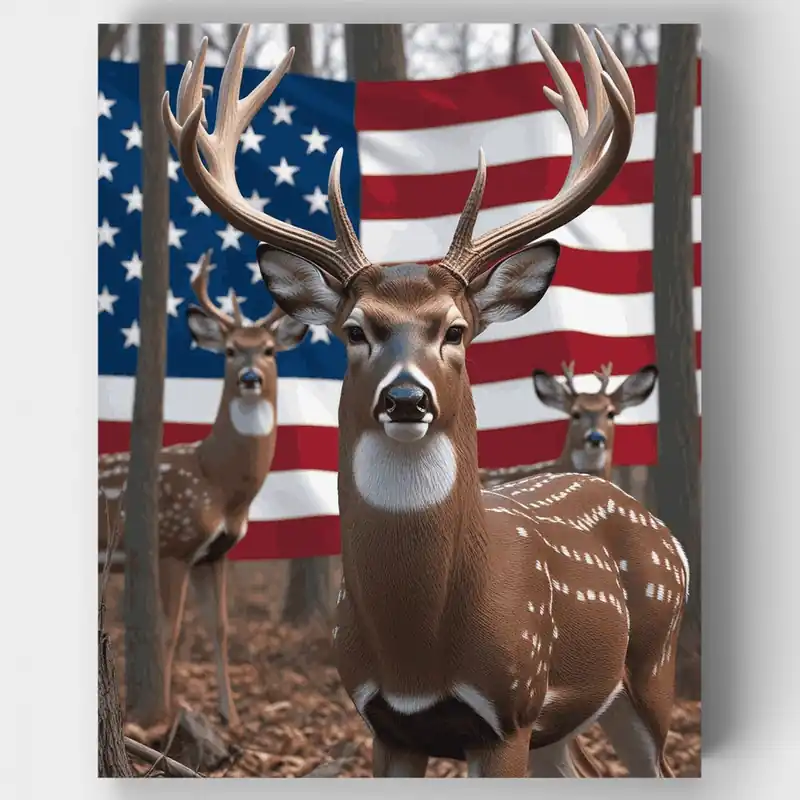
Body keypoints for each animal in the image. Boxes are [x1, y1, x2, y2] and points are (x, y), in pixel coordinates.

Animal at [98, 250, 308, 727]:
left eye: (268, 350)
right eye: (230, 351)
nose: (249, 377)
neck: (218, 480)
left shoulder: (215, 554)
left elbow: (221, 627)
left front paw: (231, 714)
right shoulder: (173, 544)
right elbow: (169, 629)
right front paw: (164, 716)